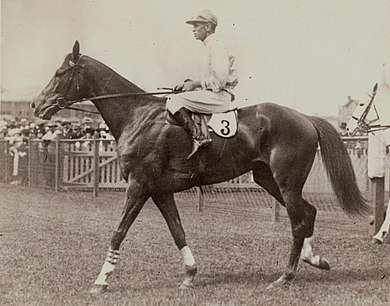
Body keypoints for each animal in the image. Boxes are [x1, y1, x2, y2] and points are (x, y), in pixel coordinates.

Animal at [31, 41, 368, 292]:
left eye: (60, 73)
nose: (36, 105)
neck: (138, 115)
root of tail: (305, 118)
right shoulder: (160, 191)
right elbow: (177, 231)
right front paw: (190, 275)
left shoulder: (138, 186)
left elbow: (118, 232)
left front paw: (101, 281)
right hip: (268, 179)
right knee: (307, 213)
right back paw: (315, 259)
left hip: (286, 182)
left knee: (298, 220)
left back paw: (285, 277)